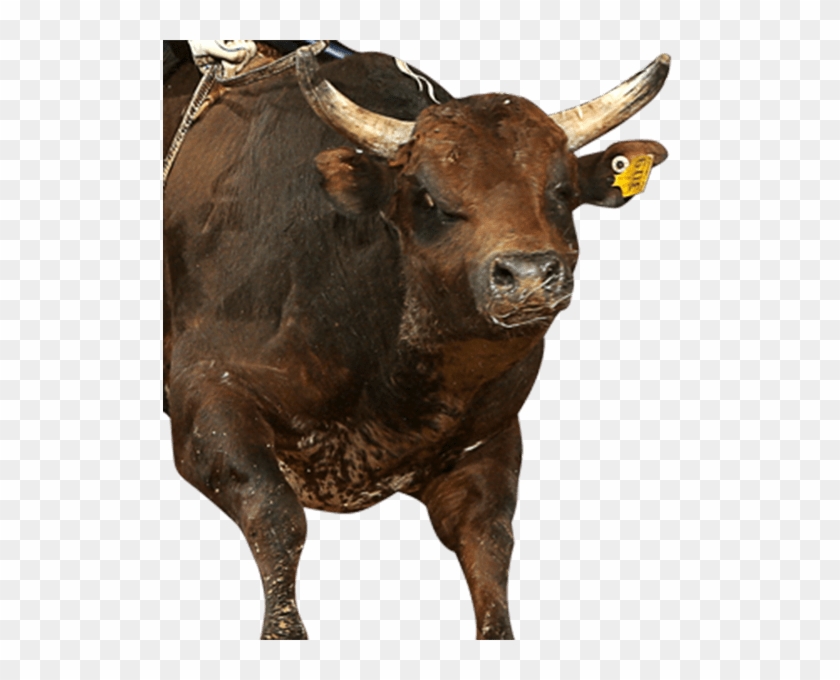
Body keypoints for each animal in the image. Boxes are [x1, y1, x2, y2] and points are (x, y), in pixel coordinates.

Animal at [163, 41, 669, 639]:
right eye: (428, 196)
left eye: (562, 190)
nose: (526, 276)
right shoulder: (204, 395)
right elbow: (276, 514)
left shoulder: (490, 441)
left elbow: (489, 545)